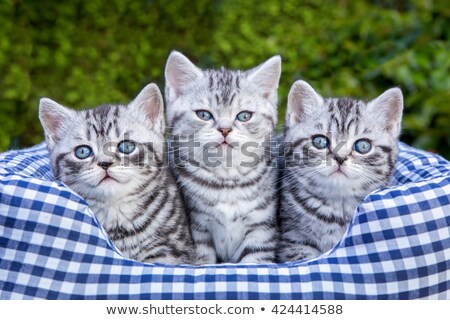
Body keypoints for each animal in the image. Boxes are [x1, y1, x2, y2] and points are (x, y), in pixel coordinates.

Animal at [163, 51, 280, 264]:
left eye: (244, 116)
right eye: (203, 114)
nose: (225, 129)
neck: (227, 181)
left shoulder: (261, 230)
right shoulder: (198, 230)